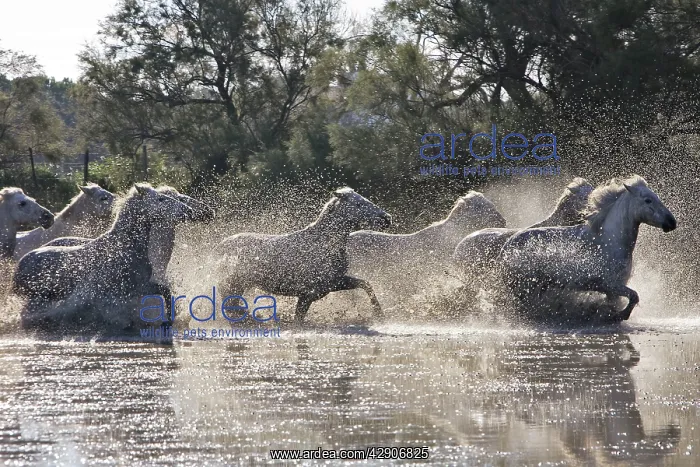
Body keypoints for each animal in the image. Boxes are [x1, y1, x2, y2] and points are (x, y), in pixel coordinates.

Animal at [12, 183, 195, 331]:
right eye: (161, 199)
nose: (188, 210)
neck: (124, 248)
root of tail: (21, 263)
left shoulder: (140, 285)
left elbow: (165, 291)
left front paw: (169, 319)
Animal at [210, 187, 392, 323]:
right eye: (359, 203)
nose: (387, 218)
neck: (324, 244)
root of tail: (217, 248)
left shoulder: (334, 283)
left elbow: (366, 285)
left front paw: (379, 314)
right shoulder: (308, 294)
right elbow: (298, 320)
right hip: (233, 284)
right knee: (230, 306)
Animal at [499, 175, 676, 322]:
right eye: (648, 200)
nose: (672, 222)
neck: (610, 242)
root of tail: (507, 246)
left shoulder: (613, 290)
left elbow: (627, 300)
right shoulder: (611, 285)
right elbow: (634, 297)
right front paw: (619, 316)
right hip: (524, 286)